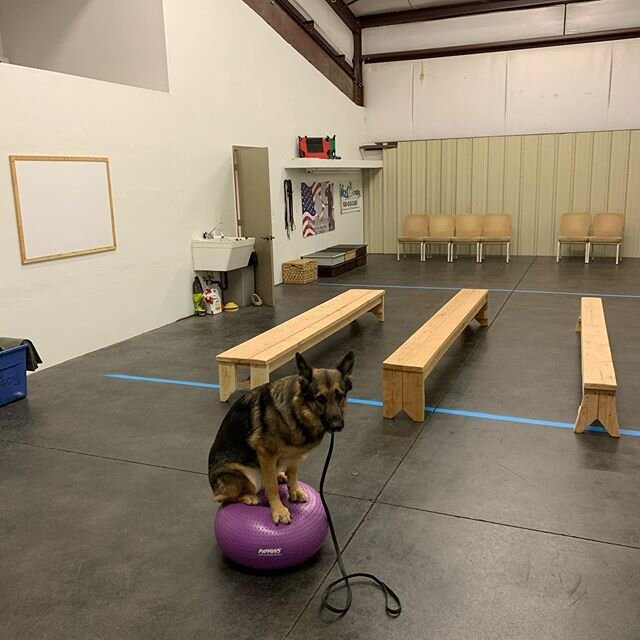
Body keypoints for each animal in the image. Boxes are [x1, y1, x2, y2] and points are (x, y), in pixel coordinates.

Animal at [208, 350, 352, 524]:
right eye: (320, 399)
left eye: (340, 396)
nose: (337, 426)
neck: (296, 411)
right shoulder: (265, 454)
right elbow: (272, 487)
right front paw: (279, 510)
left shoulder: (294, 454)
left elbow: (293, 473)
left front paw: (294, 490)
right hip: (245, 474)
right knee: (223, 498)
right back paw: (249, 496)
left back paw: (279, 475)